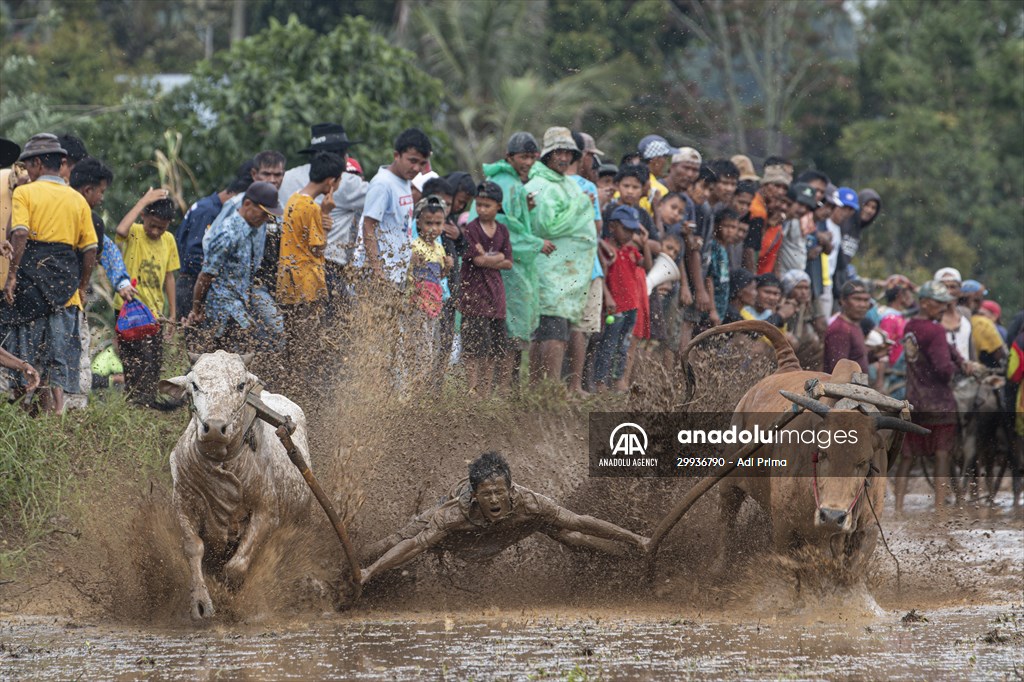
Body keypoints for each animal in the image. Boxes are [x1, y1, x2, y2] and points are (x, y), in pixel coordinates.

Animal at [158, 348, 311, 618]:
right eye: (194, 385)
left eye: (240, 385)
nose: (214, 428)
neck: (222, 463)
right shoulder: (184, 503)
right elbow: (193, 548)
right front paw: (201, 603)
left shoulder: (267, 513)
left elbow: (235, 568)